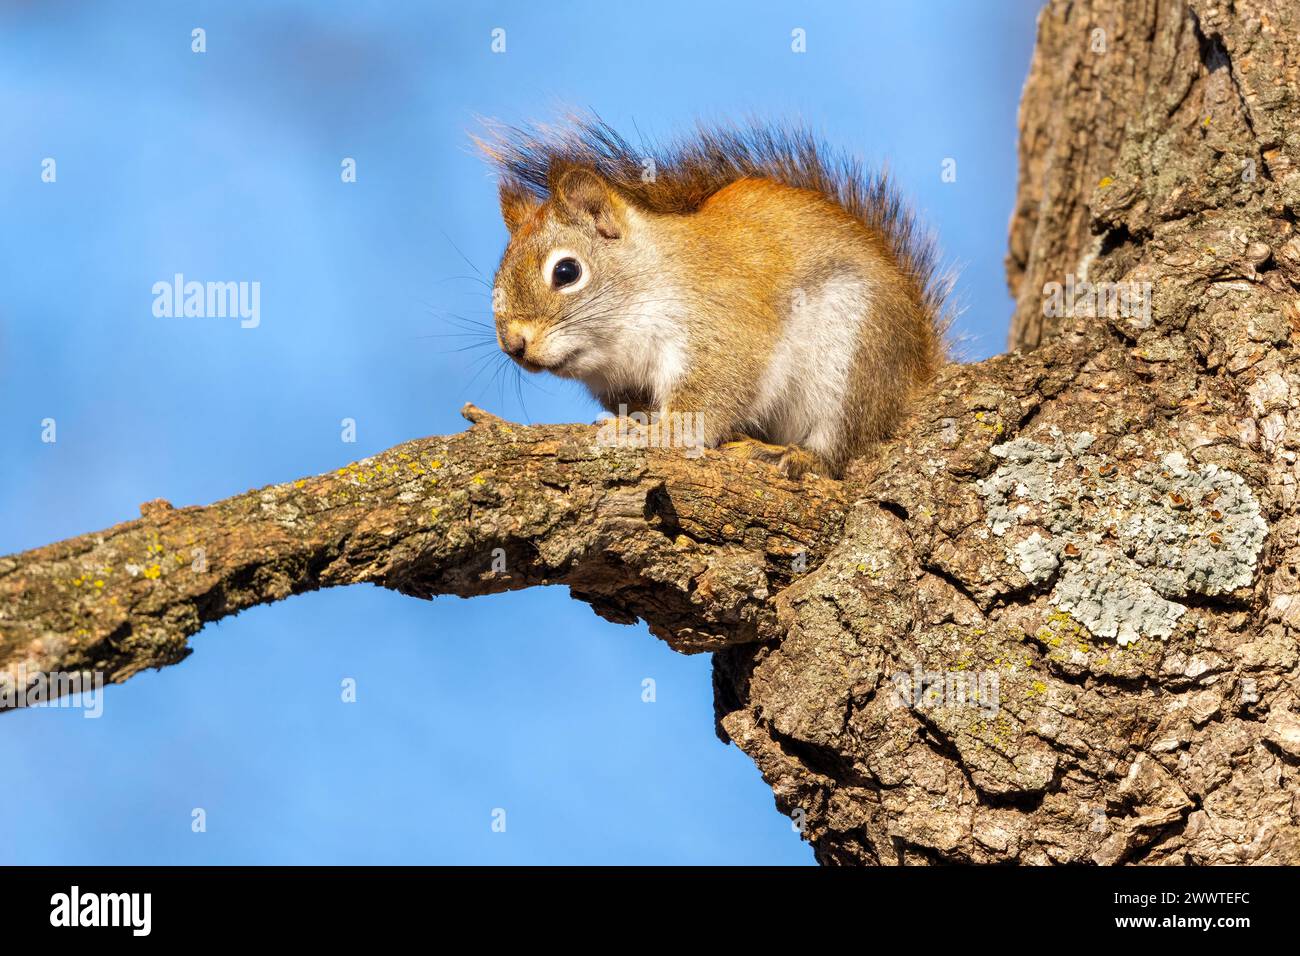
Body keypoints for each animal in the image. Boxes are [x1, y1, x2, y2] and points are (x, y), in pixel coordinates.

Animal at [477, 117, 950, 478]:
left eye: (566, 272)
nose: (514, 345)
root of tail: (915, 373)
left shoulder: (722, 330)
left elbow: (706, 403)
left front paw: (655, 433)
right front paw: (639, 421)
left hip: (852, 357)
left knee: (837, 449)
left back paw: (788, 454)